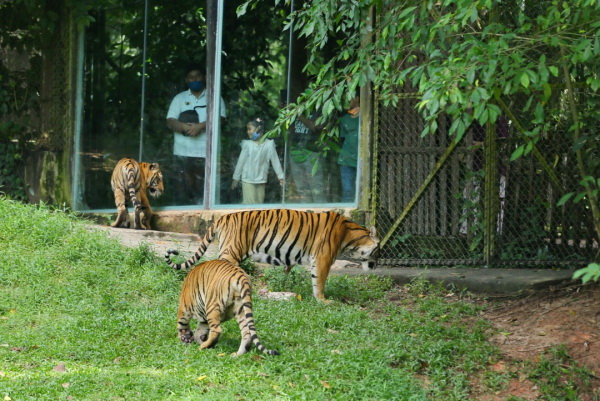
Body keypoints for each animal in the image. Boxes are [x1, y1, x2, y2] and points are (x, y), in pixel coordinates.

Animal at [164, 209, 380, 300]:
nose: (376, 265)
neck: (350, 235)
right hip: (231, 251)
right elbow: (319, 281)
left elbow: (287, 270)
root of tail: (223, 217)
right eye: (379, 250)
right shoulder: (323, 259)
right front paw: (323, 301)